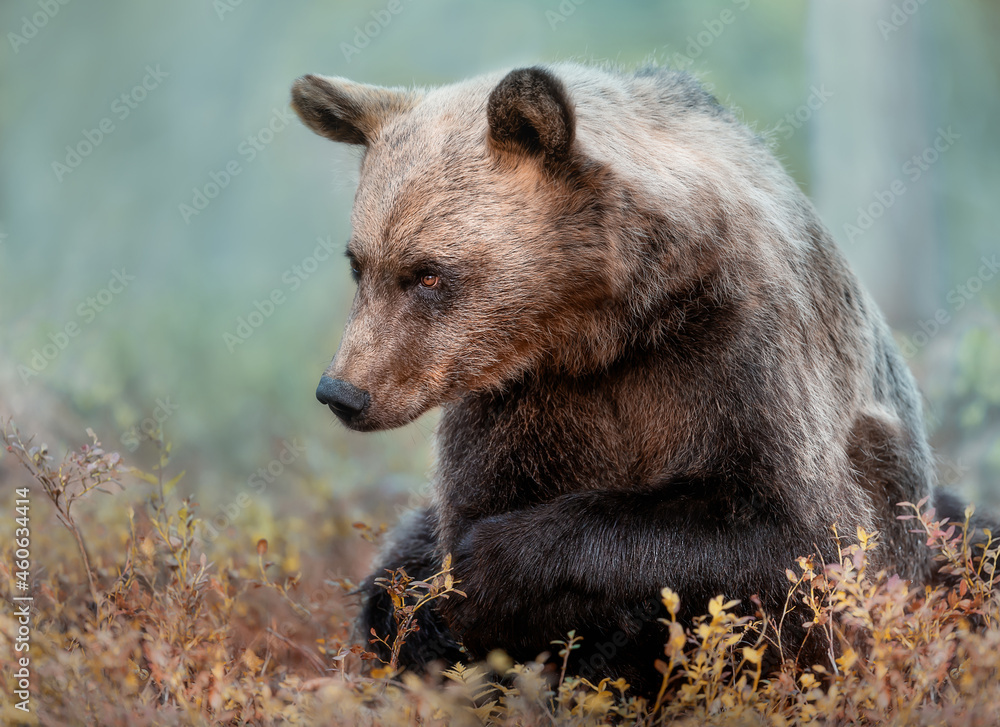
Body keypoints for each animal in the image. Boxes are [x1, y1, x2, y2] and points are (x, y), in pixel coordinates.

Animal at [289, 63, 972, 693]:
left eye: (428, 273)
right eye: (360, 264)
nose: (342, 391)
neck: (608, 325)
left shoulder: (739, 349)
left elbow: (797, 536)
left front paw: (492, 568)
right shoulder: (525, 397)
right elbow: (463, 520)